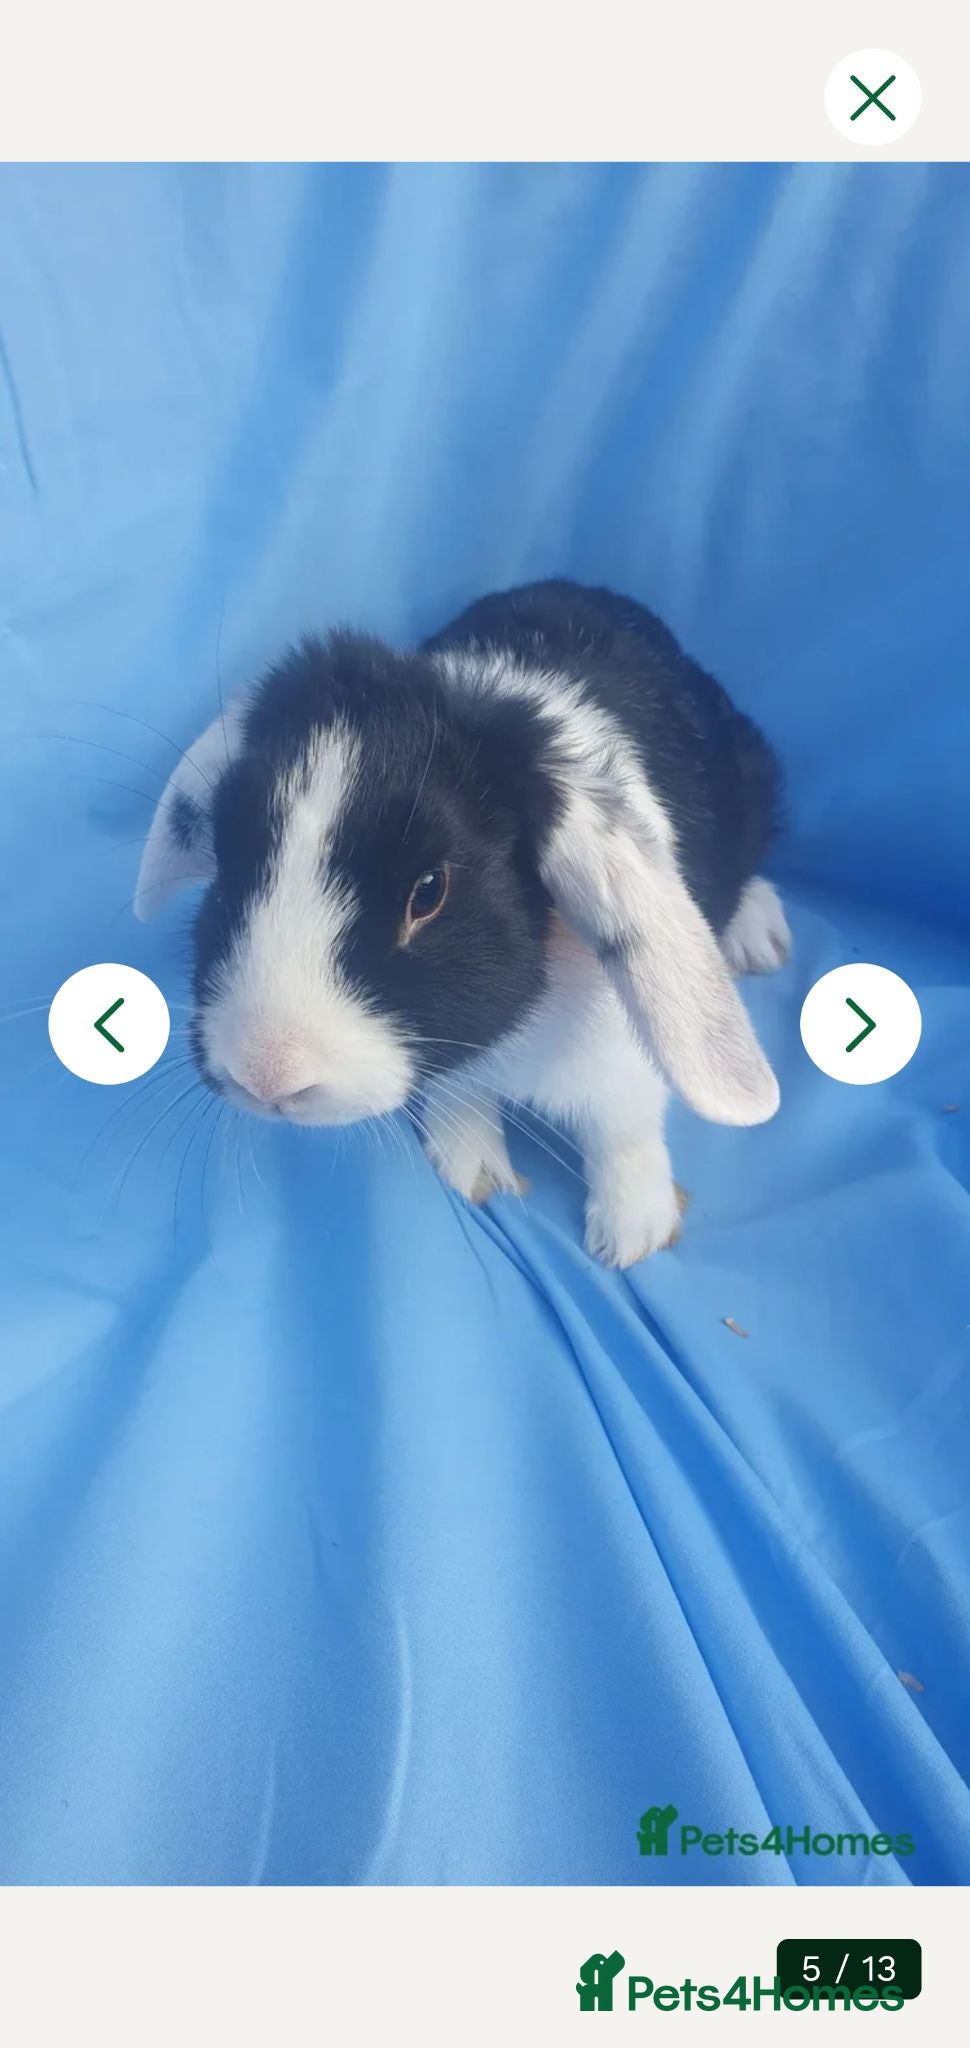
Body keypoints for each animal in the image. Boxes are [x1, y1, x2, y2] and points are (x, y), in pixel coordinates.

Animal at [135, 579, 790, 1267]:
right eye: (229, 858)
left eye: (429, 891)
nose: (267, 1075)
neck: (506, 1039)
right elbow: (462, 1100)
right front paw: (471, 1167)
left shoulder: (624, 1070)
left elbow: (625, 1134)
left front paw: (632, 1235)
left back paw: (758, 936)